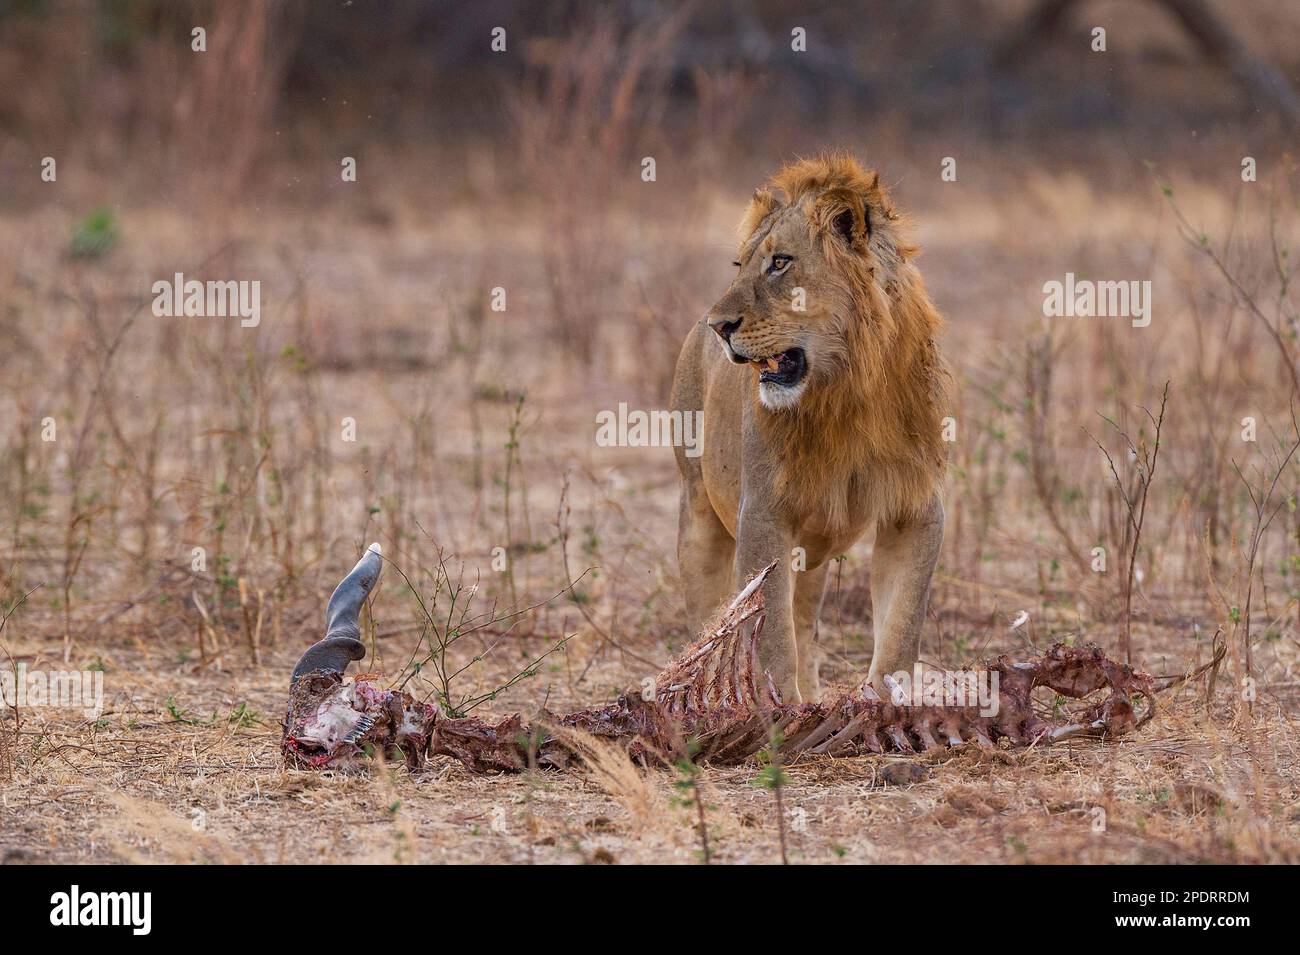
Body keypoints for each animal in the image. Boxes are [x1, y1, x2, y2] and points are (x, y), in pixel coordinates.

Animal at [670, 151, 946, 701]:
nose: (719, 325)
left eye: (780, 262)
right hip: (698, 512)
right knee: (709, 626)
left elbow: (901, 629)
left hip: (813, 552)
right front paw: (779, 713)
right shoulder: (762, 515)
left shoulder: (917, 509)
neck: (845, 390)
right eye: (740, 266)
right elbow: (771, 639)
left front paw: (883, 706)